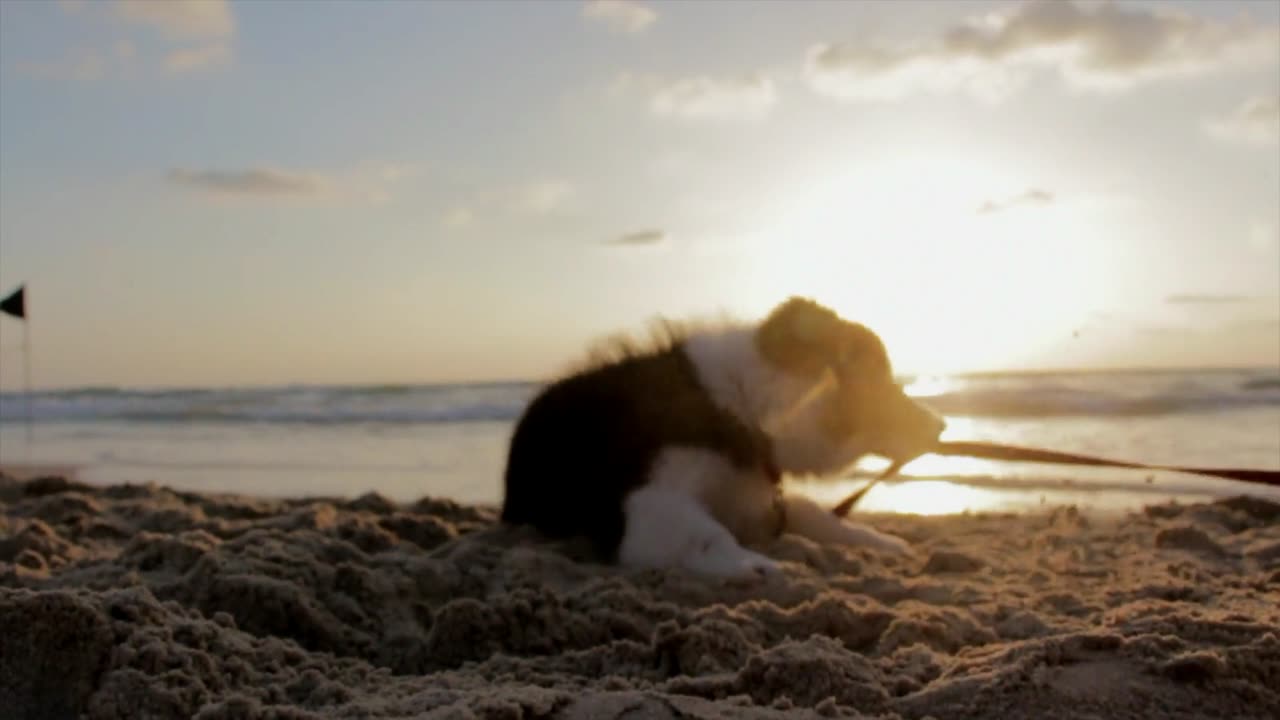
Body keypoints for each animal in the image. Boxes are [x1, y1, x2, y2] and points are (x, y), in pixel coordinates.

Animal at [496, 294, 942, 579]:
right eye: (881, 381)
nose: (940, 425)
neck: (743, 403)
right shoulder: (644, 501)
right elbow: (707, 533)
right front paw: (755, 565)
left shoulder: (749, 499)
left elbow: (814, 513)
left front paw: (878, 541)